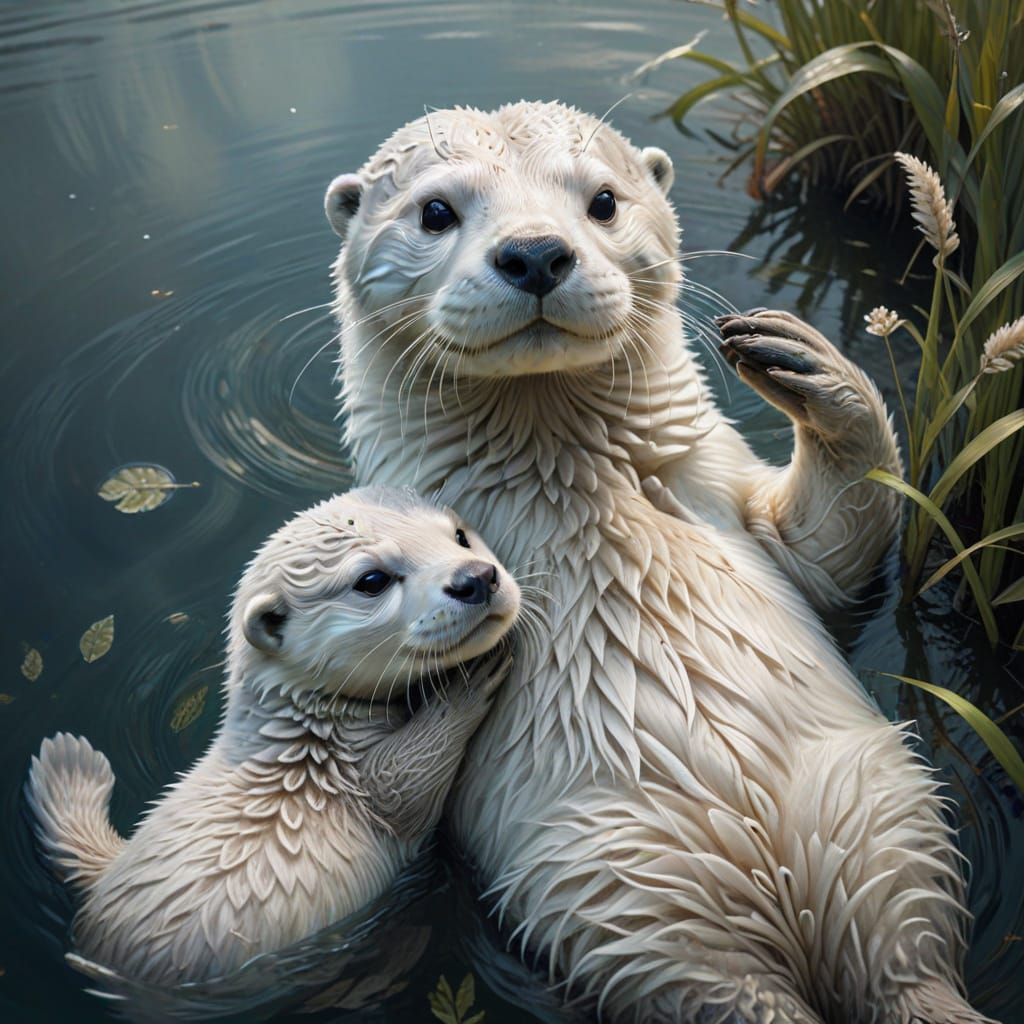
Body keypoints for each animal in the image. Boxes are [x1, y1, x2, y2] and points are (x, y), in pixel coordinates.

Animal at [26, 487, 519, 987]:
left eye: (460, 536)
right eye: (372, 580)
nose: (476, 578)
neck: (307, 744)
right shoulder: (362, 782)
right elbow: (406, 782)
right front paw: (470, 680)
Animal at [325, 103, 989, 1024]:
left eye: (603, 200)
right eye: (434, 211)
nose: (536, 253)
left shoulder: (726, 498)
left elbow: (836, 549)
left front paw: (806, 361)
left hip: (876, 802)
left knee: (906, 945)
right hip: (613, 885)